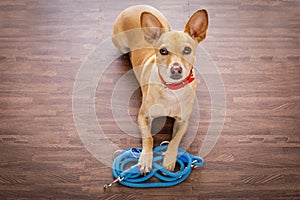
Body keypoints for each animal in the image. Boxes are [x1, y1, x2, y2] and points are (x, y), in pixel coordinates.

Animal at [111, 4, 207, 173]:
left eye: (187, 50)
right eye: (163, 51)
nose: (176, 69)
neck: (172, 90)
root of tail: (134, 6)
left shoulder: (184, 122)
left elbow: (175, 140)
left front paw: (169, 158)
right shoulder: (143, 117)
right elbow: (149, 138)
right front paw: (145, 158)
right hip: (120, 43)